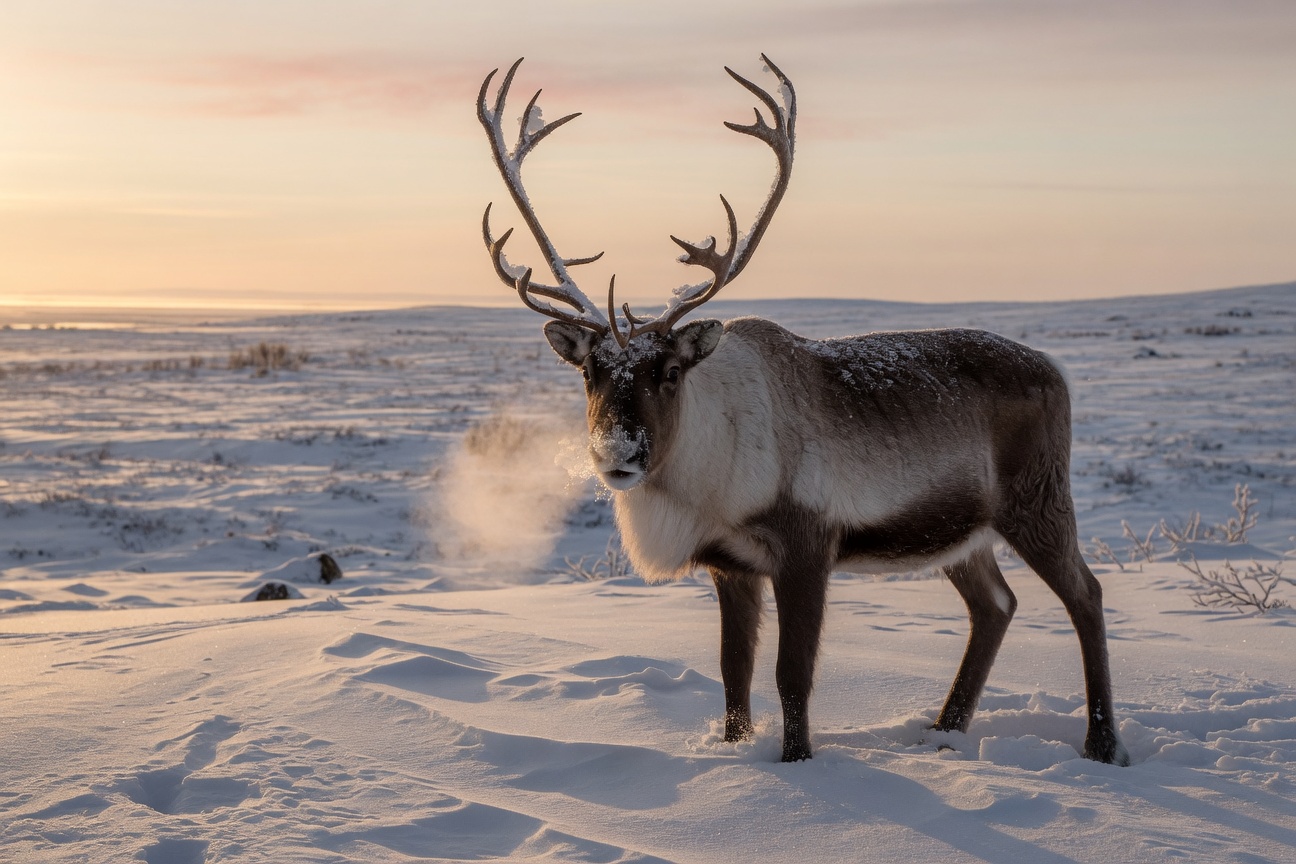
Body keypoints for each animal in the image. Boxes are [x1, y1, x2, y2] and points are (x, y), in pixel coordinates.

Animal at [476, 56, 1130, 766]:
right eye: (589, 372)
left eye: (671, 372)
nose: (618, 454)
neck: (709, 473)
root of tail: (1054, 371)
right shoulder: (731, 565)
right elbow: (734, 674)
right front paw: (736, 752)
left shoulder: (807, 547)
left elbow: (792, 675)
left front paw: (797, 764)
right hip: (962, 530)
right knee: (996, 605)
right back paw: (944, 733)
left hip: (1037, 500)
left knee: (1086, 595)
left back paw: (1102, 743)